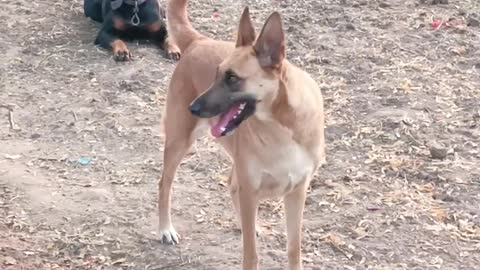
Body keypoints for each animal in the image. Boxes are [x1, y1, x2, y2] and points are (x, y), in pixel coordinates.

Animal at [158, 1, 326, 268]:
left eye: (232, 78)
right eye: (216, 74)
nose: (193, 107)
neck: (280, 128)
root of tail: (199, 41)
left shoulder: (297, 192)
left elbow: (293, 248)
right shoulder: (250, 190)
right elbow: (251, 253)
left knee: (231, 185)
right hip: (179, 142)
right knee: (165, 183)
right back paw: (165, 229)